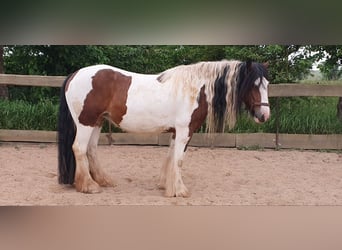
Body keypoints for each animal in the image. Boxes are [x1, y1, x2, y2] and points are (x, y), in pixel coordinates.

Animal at [58, 59, 270, 197]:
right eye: (253, 84)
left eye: (267, 84)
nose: (264, 115)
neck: (195, 89)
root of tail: (75, 74)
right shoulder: (185, 131)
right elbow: (179, 160)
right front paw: (180, 190)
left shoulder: (177, 132)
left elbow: (170, 157)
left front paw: (165, 185)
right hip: (85, 122)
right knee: (79, 148)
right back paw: (89, 186)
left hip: (97, 122)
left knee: (91, 149)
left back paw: (103, 181)